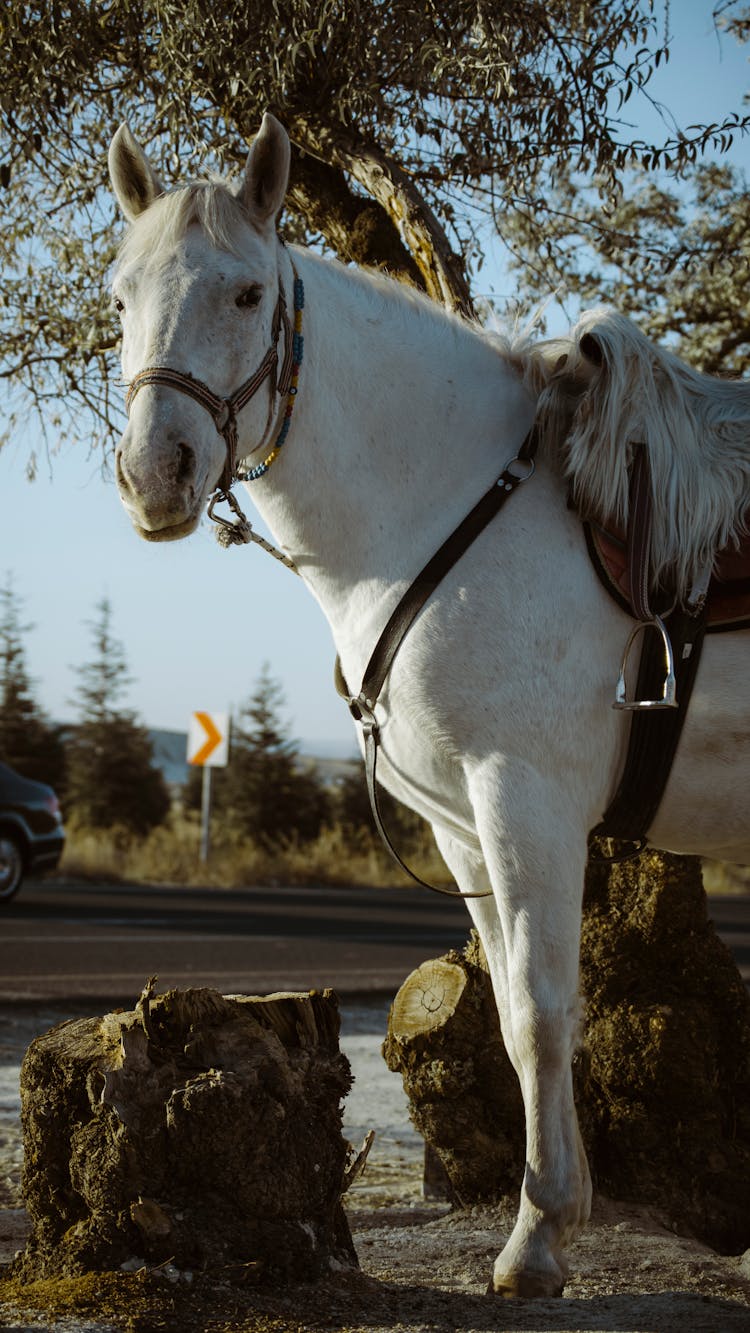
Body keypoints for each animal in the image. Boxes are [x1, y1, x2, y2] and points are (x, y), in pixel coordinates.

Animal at [107, 114, 750, 1301]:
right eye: (122, 295)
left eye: (247, 294)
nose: (155, 474)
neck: (460, 500)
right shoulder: (461, 822)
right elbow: (508, 1011)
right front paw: (559, 1209)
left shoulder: (524, 800)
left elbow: (543, 1012)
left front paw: (536, 1238)